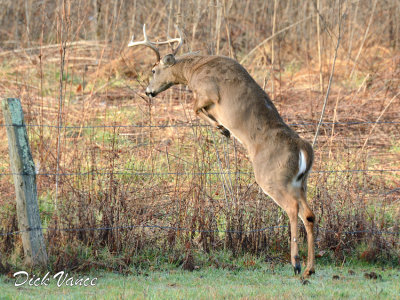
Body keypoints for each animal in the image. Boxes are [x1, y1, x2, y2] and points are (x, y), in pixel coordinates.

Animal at [128, 25, 316, 276]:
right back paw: (309, 269)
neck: (194, 70)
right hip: (300, 183)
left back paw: (295, 263)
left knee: (292, 209)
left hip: (273, 178)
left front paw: (222, 129)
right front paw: (222, 129)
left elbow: (195, 108)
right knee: (309, 215)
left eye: (153, 69)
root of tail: (303, 149)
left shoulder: (208, 91)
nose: (148, 92)